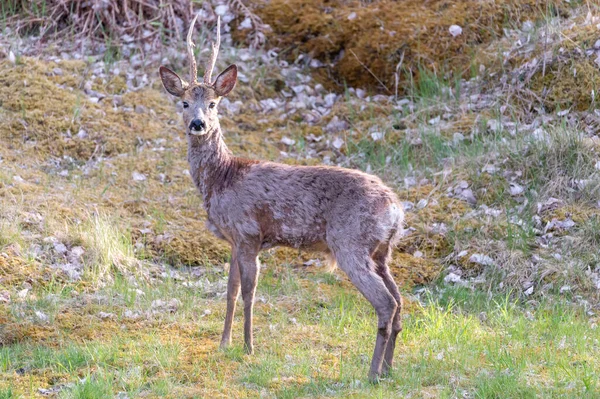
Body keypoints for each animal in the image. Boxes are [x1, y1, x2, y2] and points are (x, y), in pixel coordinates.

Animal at [158, 14, 404, 382]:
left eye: (213, 104)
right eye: (185, 102)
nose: (198, 123)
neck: (222, 178)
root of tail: (397, 209)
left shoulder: (248, 232)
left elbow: (249, 293)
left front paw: (248, 347)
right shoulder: (234, 240)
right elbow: (230, 291)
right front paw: (224, 343)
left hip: (351, 242)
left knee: (386, 303)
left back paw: (372, 372)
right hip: (381, 251)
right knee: (400, 301)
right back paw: (388, 369)